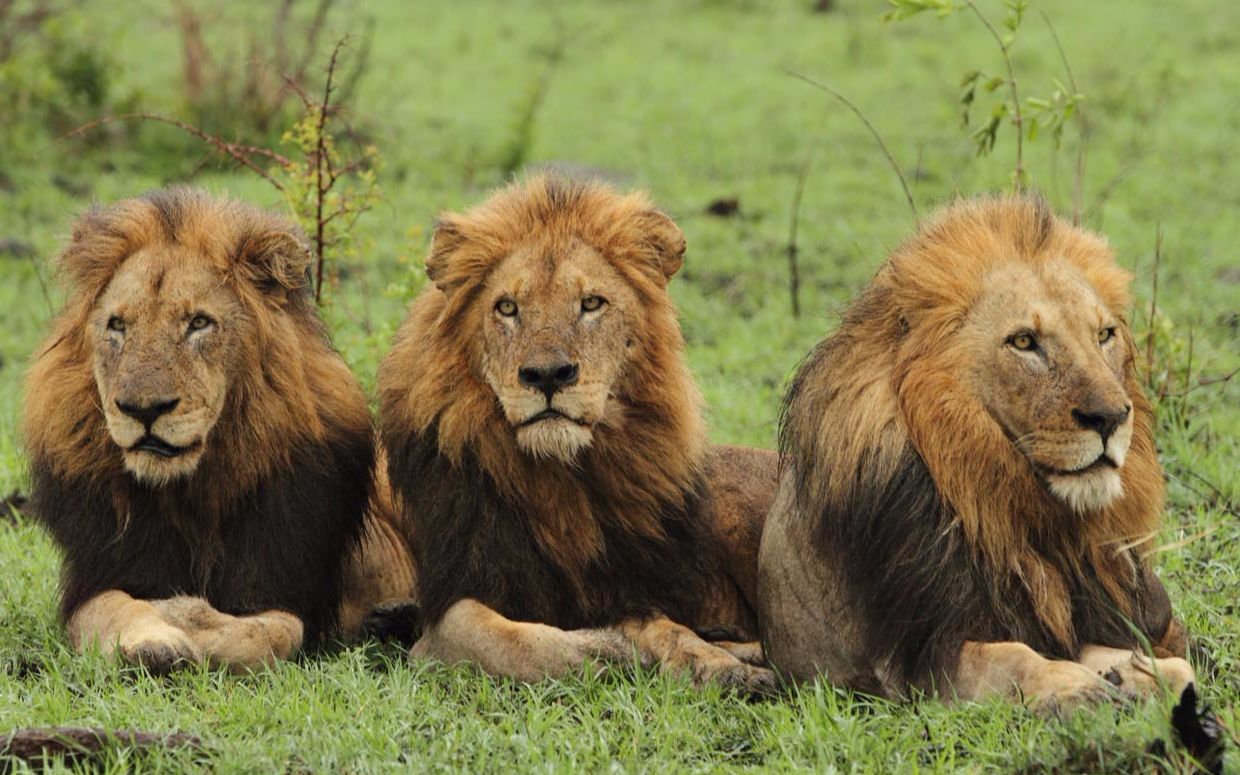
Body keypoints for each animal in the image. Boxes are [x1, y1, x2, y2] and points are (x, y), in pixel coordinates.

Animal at [22, 187, 406, 669]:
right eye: (118, 325)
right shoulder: (98, 574)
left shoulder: (289, 589)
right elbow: (111, 606)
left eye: (199, 323)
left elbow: (272, 631)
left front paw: (181, 614)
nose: (143, 409)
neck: (193, 495)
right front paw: (152, 640)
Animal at [381, 173, 778, 689]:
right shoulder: (448, 607)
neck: (559, 485)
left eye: (591, 304)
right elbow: (498, 637)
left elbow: (667, 627)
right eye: (506, 307)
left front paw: (709, 662)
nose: (548, 375)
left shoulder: (628, 587)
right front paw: (609, 648)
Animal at [758, 193, 1195, 709]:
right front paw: (1072, 686)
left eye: (1104, 335)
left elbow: (1157, 660)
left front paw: (1139, 675)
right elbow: (1011, 657)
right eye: (1024, 341)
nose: (1110, 417)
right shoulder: (913, 664)